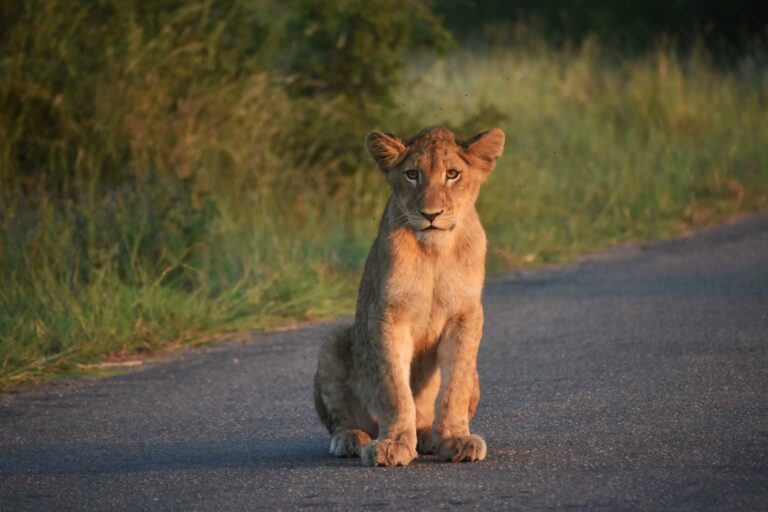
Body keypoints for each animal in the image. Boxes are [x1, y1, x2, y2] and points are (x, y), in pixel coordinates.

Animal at [313, 126, 505, 467]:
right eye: (412, 174)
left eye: (452, 174)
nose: (430, 214)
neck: (434, 253)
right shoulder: (387, 313)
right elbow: (394, 387)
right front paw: (393, 443)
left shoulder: (466, 314)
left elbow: (455, 385)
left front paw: (456, 439)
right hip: (334, 341)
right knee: (342, 420)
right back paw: (351, 439)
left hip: (477, 375)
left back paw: (430, 436)